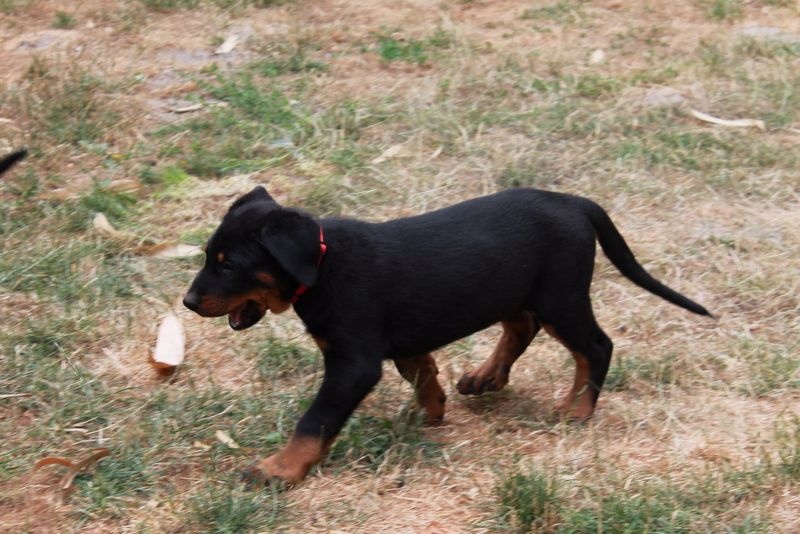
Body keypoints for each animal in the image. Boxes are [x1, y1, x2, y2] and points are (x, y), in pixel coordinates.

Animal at [184, 186, 708, 488]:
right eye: (209, 255)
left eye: (228, 265)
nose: (188, 301)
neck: (322, 263)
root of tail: (575, 203)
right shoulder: (395, 346)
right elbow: (422, 371)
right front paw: (431, 412)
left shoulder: (353, 364)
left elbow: (314, 422)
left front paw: (279, 470)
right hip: (516, 288)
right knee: (522, 326)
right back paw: (485, 377)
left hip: (561, 295)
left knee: (595, 347)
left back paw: (577, 409)